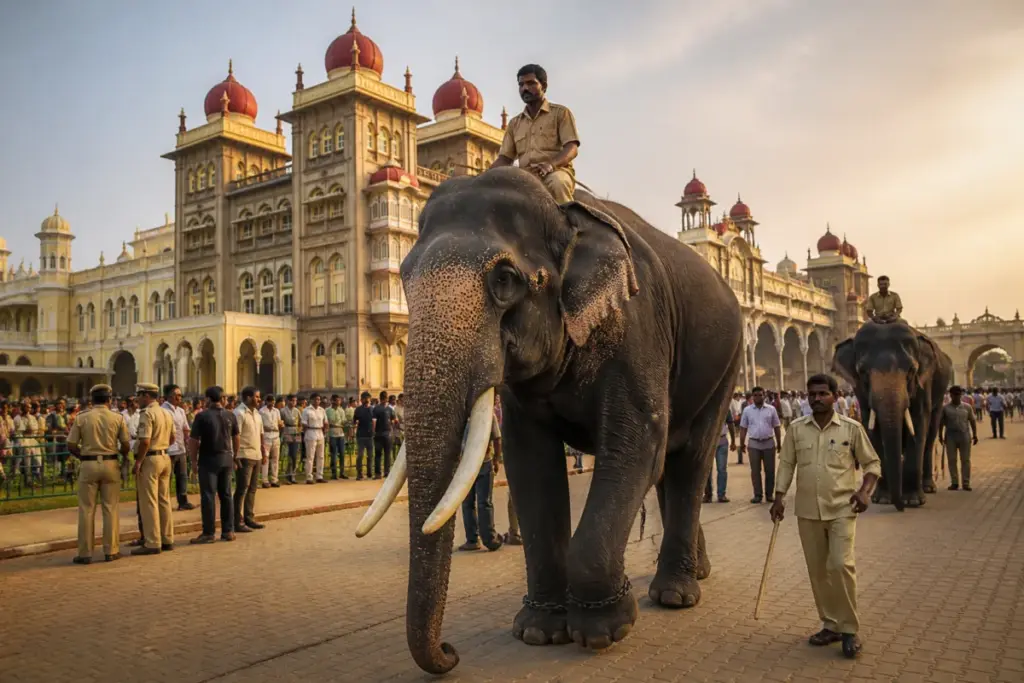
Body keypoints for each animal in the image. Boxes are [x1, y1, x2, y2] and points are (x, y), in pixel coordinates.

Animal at [354, 167, 743, 674]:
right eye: (402, 277)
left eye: (505, 279)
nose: (450, 653)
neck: (565, 217)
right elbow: (532, 465)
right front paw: (539, 632)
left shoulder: (636, 324)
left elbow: (636, 445)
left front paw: (602, 630)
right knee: (672, 466)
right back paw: (696, 571)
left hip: (728, 361)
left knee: (690, 459)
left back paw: (675, 595)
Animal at [832, 321, 952, 510]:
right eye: (863, 372)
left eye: (911, 370)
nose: (900, 507)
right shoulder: (860, 391)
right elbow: (871, 428)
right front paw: (882, 499)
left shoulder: (924, 382)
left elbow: (918, 423)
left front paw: (913, 501)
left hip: (940, 395)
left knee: (930, 436)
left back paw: (928, 487)